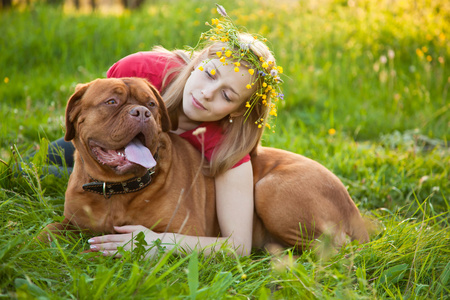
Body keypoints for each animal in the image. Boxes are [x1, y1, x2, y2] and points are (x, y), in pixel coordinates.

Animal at [40, 77, 368, 251]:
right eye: (111, 102)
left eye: (151, 104)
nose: (141, 113)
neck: (118, 190)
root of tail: (354, 209)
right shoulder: (73, 222)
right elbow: (47, 229)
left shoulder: (187, 231)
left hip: (270, 189)